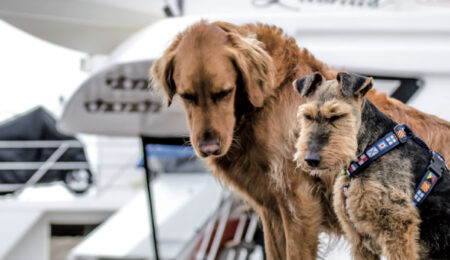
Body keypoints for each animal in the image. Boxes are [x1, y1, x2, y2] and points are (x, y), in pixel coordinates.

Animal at [294, 71, 448, 260]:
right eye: (307, 116)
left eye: (337, 115)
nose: (311, 159)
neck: (370, 149)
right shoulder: (359, 240)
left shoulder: (397, 228)